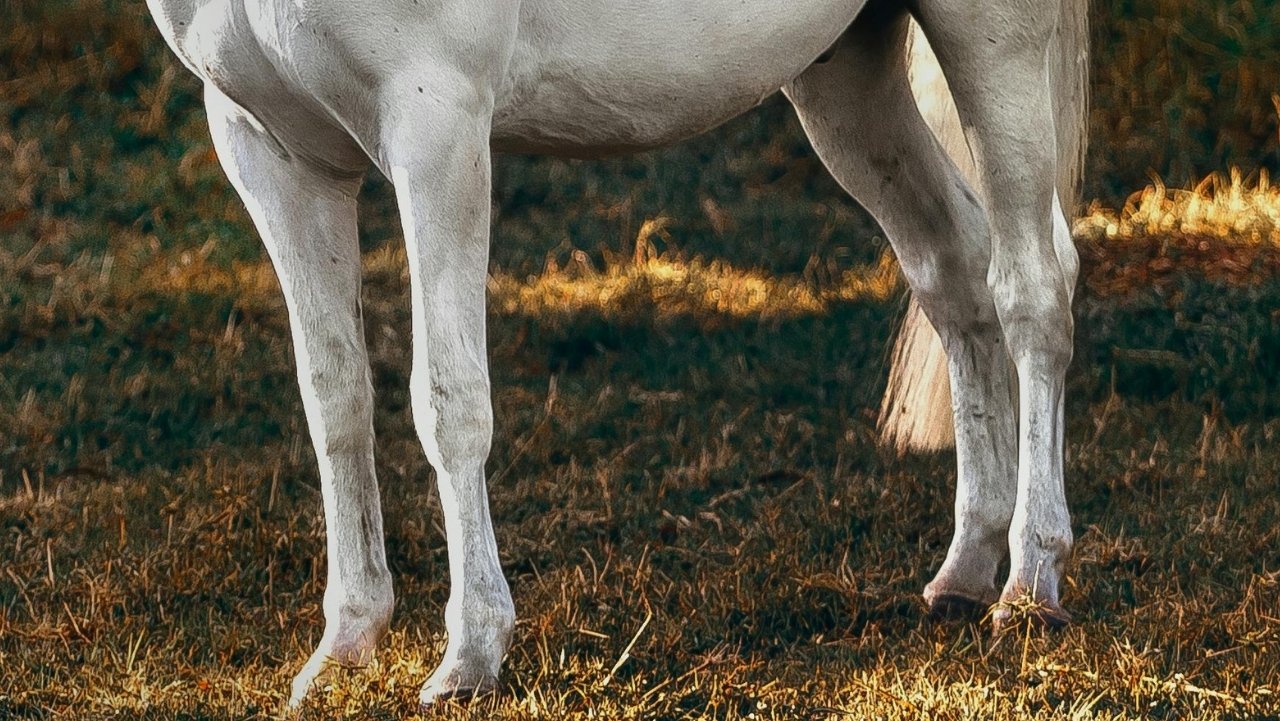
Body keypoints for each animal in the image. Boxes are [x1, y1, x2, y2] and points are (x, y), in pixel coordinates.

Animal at [143, 0, 1089, 708]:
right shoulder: (269, 148)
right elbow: (335, 400)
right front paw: (345, 644)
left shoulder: (436, 123)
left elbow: (448, 400)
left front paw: (470, 656)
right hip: (847, 75)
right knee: (952, 269)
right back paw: (964, 569)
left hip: (992, 39)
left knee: (1032, 287)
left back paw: (1030, 581)